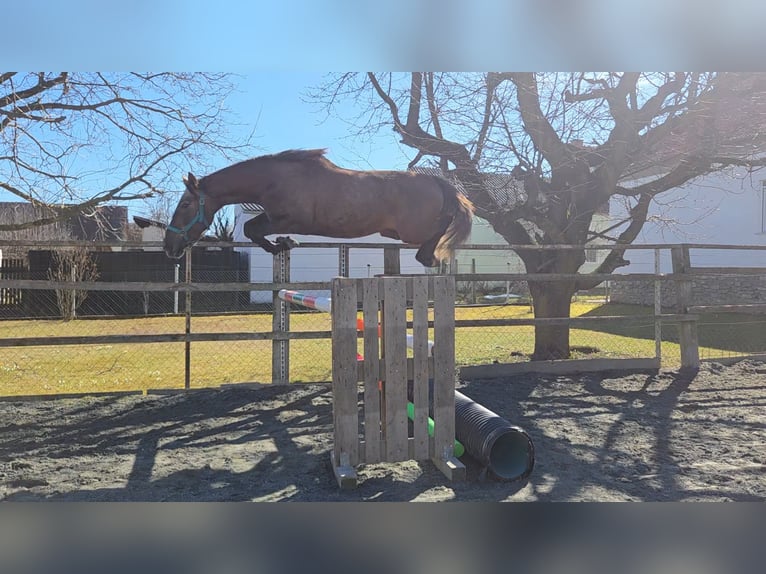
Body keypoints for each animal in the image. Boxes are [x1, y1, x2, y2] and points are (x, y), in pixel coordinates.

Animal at [163, 149, 474, 267]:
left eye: (186, 203)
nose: (169, 247)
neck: (273, 179)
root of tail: (436, 182)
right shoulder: (274, 217)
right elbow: (253, 228)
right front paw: (282, 245)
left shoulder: (290, 219)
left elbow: (252, 228)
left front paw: (283, 244)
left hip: (410, 231)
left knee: (442, 226)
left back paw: (429, 257)